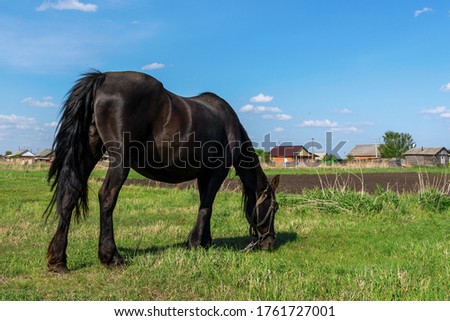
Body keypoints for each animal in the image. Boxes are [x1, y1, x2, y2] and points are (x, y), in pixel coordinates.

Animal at [44, 71, 278, 272]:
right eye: (275, 207)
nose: (270, 243)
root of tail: (103, 78)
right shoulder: (217, 172)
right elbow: (206, 207)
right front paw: (195, 243)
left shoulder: (204, 175)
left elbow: (205, 205)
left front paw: (205, 241)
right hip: (120, 160)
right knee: (107, 197)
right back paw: (111, 256)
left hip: (88, 153)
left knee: (69, 195)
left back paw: (58, 260)